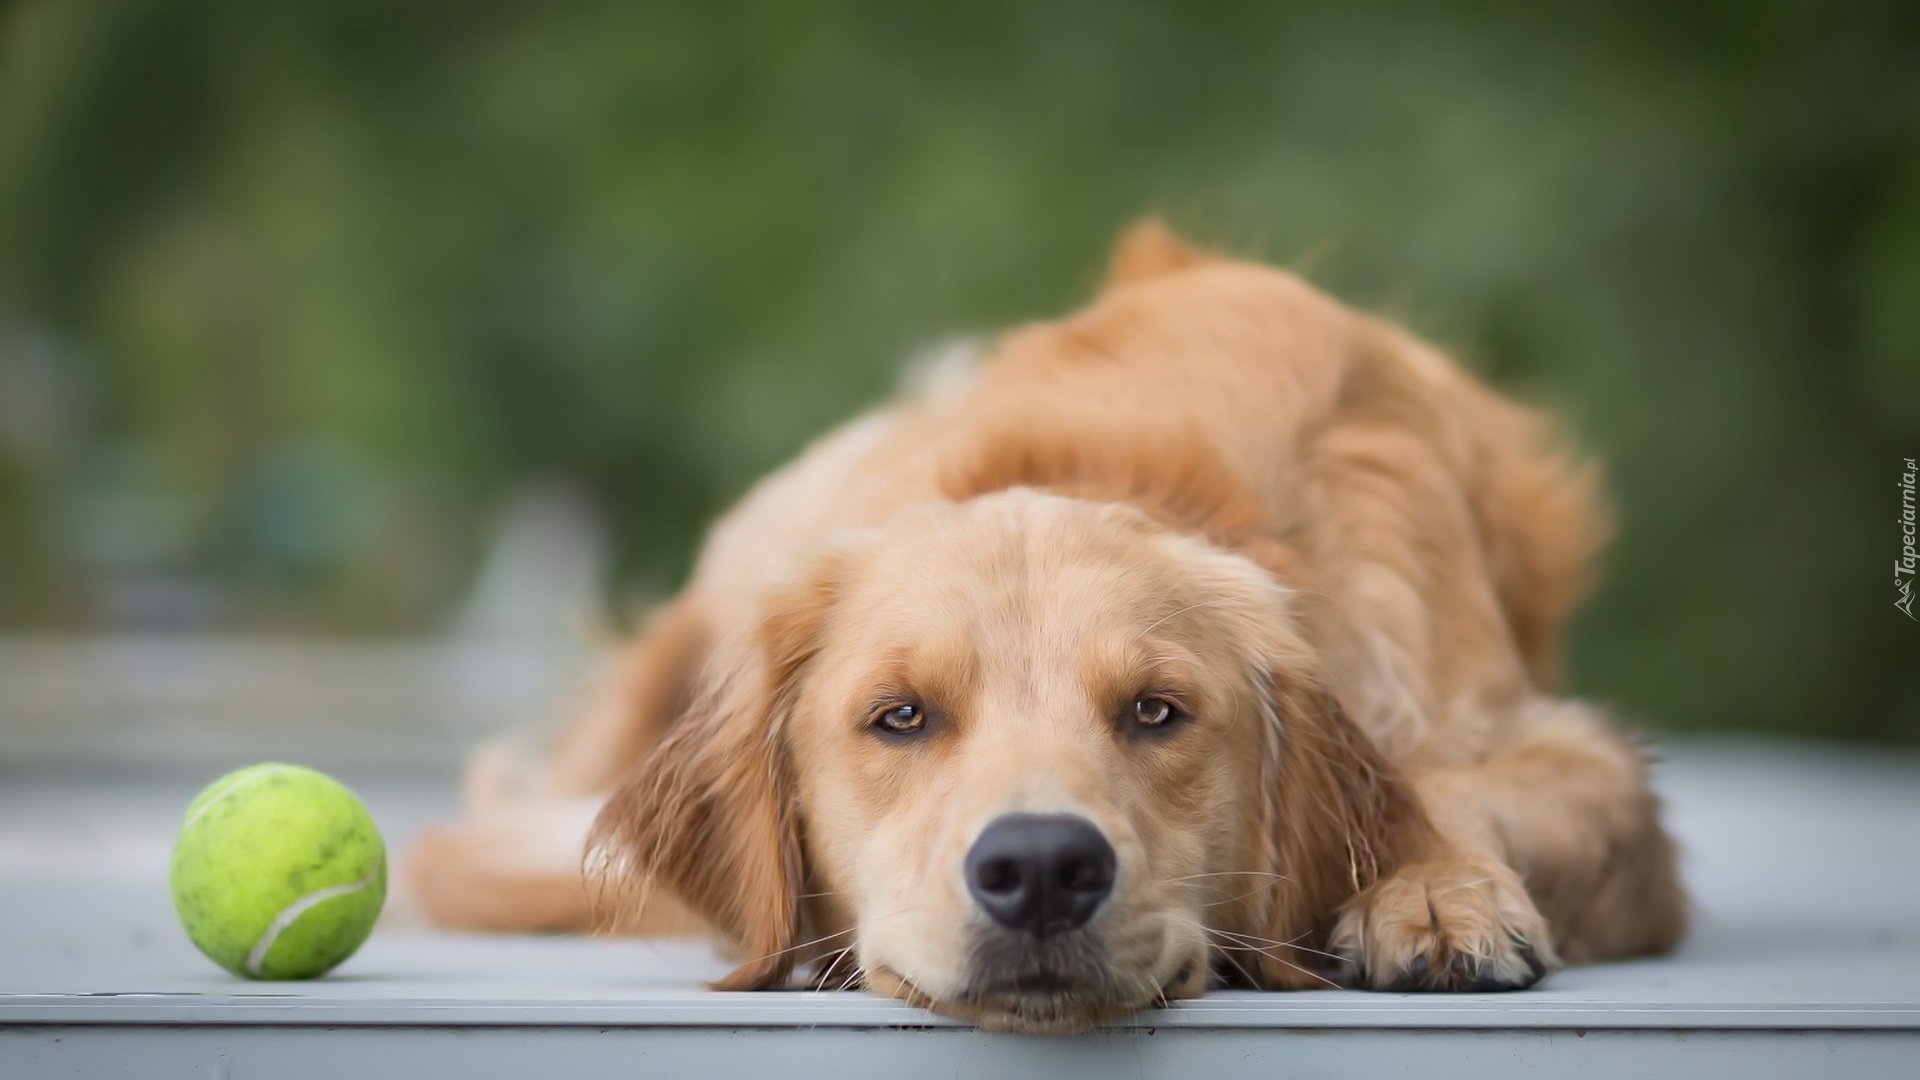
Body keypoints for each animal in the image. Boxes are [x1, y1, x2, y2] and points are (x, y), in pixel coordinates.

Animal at [405, 220, 1681, 1037]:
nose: (1040, 872)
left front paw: (1435, 890)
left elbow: (1456, 782)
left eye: (1158, 712)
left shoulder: (1582, 758)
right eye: (899, 717)